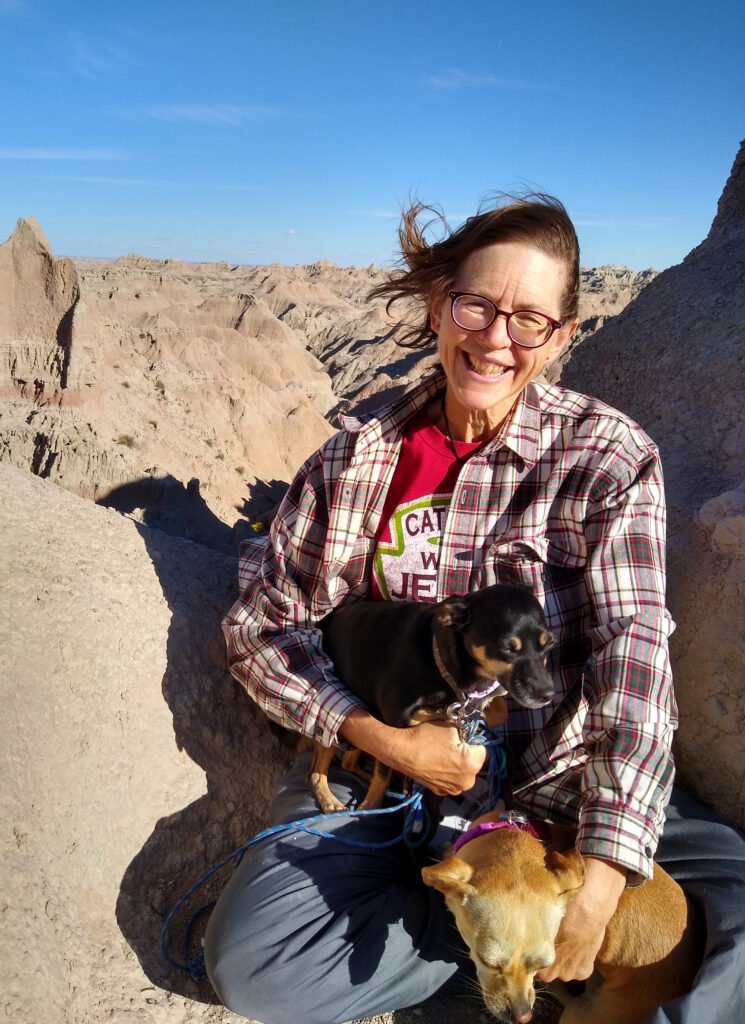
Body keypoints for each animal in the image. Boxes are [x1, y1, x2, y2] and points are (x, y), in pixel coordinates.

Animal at [304, 585, 556, 815]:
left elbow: (496, 708)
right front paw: (370, 806)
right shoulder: (393, 720)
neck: (443, 666)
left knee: (348, 762)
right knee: (316, 771)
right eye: (507, 648)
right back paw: (330, 800)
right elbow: (385, 770)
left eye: (550, 644)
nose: (548, 694)